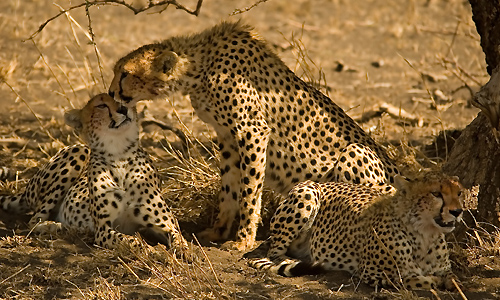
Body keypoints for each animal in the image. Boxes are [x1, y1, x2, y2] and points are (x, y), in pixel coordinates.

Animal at [0, 94, 188, 251]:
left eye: (125, 99)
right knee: (34, 220)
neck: (119, 153)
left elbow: (181, 240)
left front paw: (186, 254)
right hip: (78, 151)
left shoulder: (167, 225)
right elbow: (128, 239)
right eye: (102, 105)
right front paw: (149, 249)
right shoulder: (103, 230)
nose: (123, 109)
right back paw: (54, 226)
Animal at [108, 20, 398, 251]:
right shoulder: (227, 136)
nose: (111, 93)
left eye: (126, 74)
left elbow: (250, 190)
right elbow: (229, 188)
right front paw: (219, 230)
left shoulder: (252, 131)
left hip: (356, 153)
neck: (200, 66)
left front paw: (243, 239)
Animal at [250, 171, 464, 290]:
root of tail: (322, 182)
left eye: (459, 193)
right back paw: (290, 261)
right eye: (436, 193)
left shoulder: (446, 270)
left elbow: (455, 280)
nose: (457, 211)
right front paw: (432, 281)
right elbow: (411, 279)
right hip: (308, 193)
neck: (425, 234)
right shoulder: (372, 273)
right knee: (274, 253)